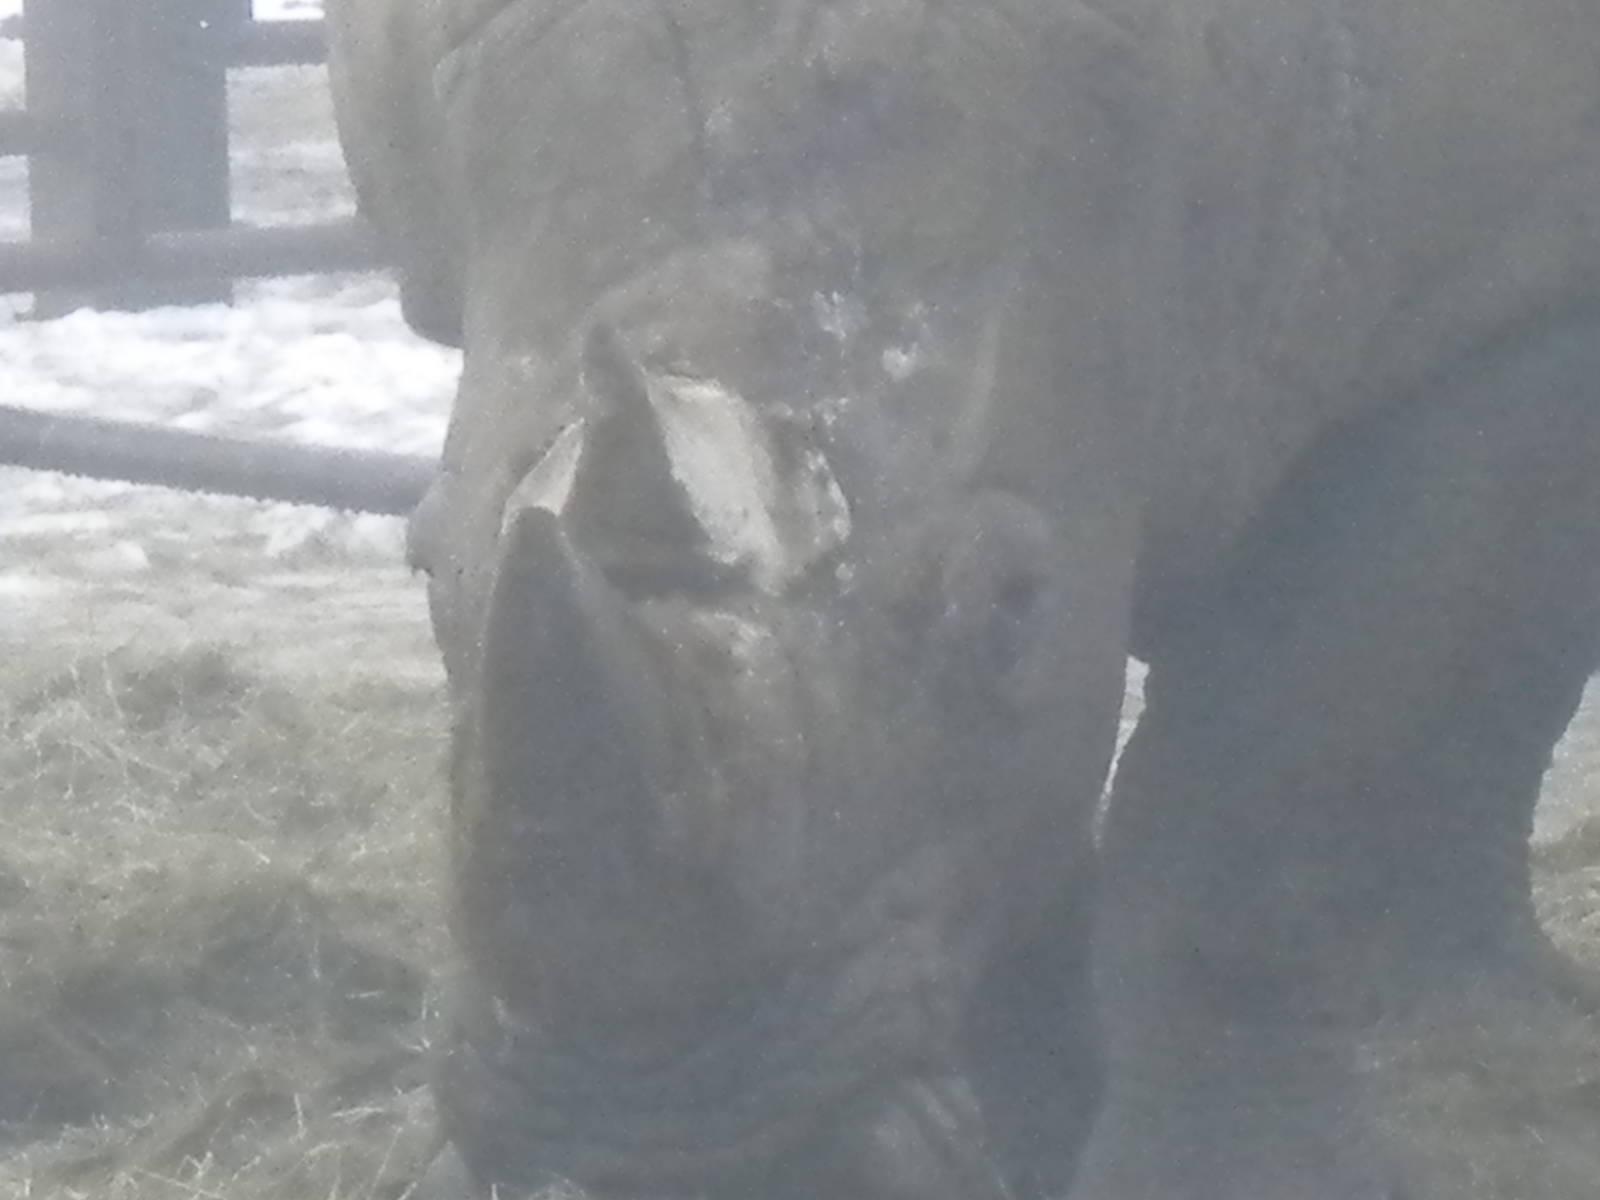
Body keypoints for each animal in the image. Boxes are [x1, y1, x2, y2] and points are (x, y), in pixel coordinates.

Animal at [327, 2, 1600, 1197]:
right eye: (425, 566)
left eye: (1010, 608)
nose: (672, 1156)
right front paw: (1018, 1128)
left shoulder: (1486, 304)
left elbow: (1266, 785)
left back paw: (1475, 1018)